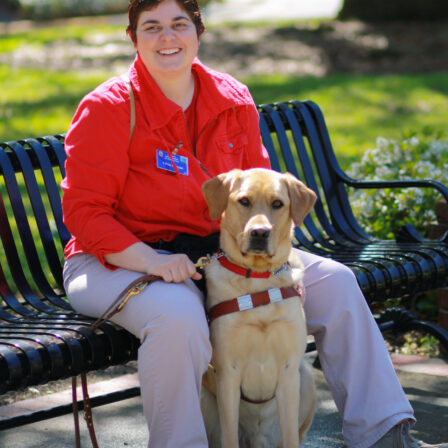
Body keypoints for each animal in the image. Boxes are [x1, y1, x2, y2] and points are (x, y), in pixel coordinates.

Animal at [200, 166, 318, 446]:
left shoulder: (289, 370)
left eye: (277, 204)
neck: (257, 279)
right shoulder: (227, 372)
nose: (260, 233)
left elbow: (290, 436)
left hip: (307, 378)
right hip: (203, 395)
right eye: (244, 201)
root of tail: (257, 439)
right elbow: (229, 436)